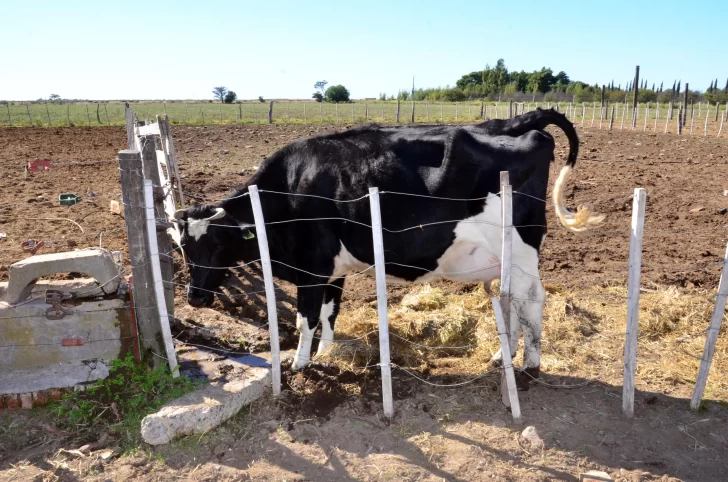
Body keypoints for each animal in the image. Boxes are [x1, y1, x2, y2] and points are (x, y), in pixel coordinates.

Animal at [172, 109, 604, 384]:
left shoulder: (312, 269)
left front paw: (299, 364)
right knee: (511, 300)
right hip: (506, 258)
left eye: (216, 244)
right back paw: (503, 357)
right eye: (183, 249)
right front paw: (327, 353)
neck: (286, 193)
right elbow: (330, 312)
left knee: (532, 299)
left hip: (523, 248)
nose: (194, 298)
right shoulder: (332, 270)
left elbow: (305, 318)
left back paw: (530, 364)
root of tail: (513, 123)